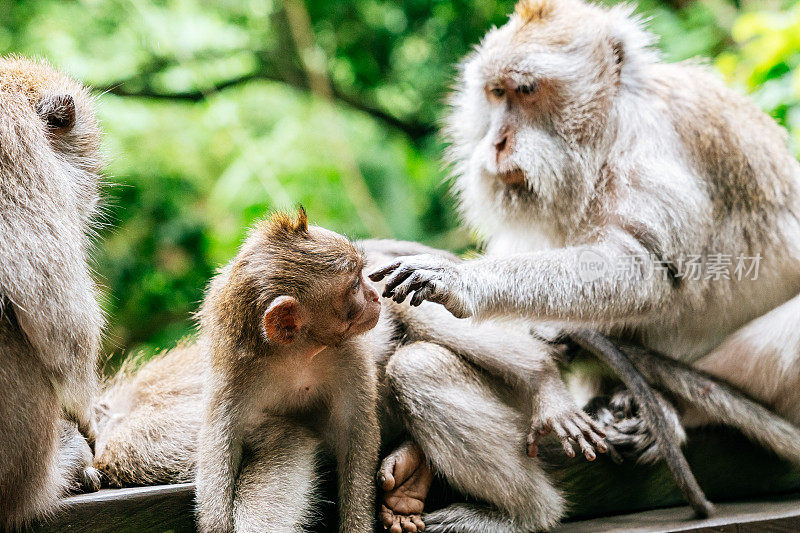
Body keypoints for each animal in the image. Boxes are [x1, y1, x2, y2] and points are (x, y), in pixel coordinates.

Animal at [194, 209, 382, 532]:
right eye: (355, 287)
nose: (375, 295)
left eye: (360, 277)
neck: (297, 353)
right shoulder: (233, 368)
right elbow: (221, 441)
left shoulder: (351, 356)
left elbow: (356, 435)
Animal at [372, 0, 800, 470]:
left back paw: (675, 412)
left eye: (526, 90)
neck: (603, 139)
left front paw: (462, 281)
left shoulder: (653, 146)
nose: (497, 141)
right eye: (497, 93)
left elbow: (648, 267)